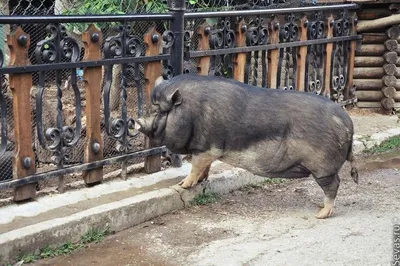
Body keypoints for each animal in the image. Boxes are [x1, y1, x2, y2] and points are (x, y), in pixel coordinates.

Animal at [137, 74, 360, 219]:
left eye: (161, 111)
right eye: (149, 106)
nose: (136, 121)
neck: (190, 112)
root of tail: (348, 123)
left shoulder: (207, 146)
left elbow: (195, 167)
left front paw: (182, 185)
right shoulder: (207, 149)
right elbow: (204, 167)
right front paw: (201, 181)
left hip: (323, 167)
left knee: (334, 185)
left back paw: (320, 214)